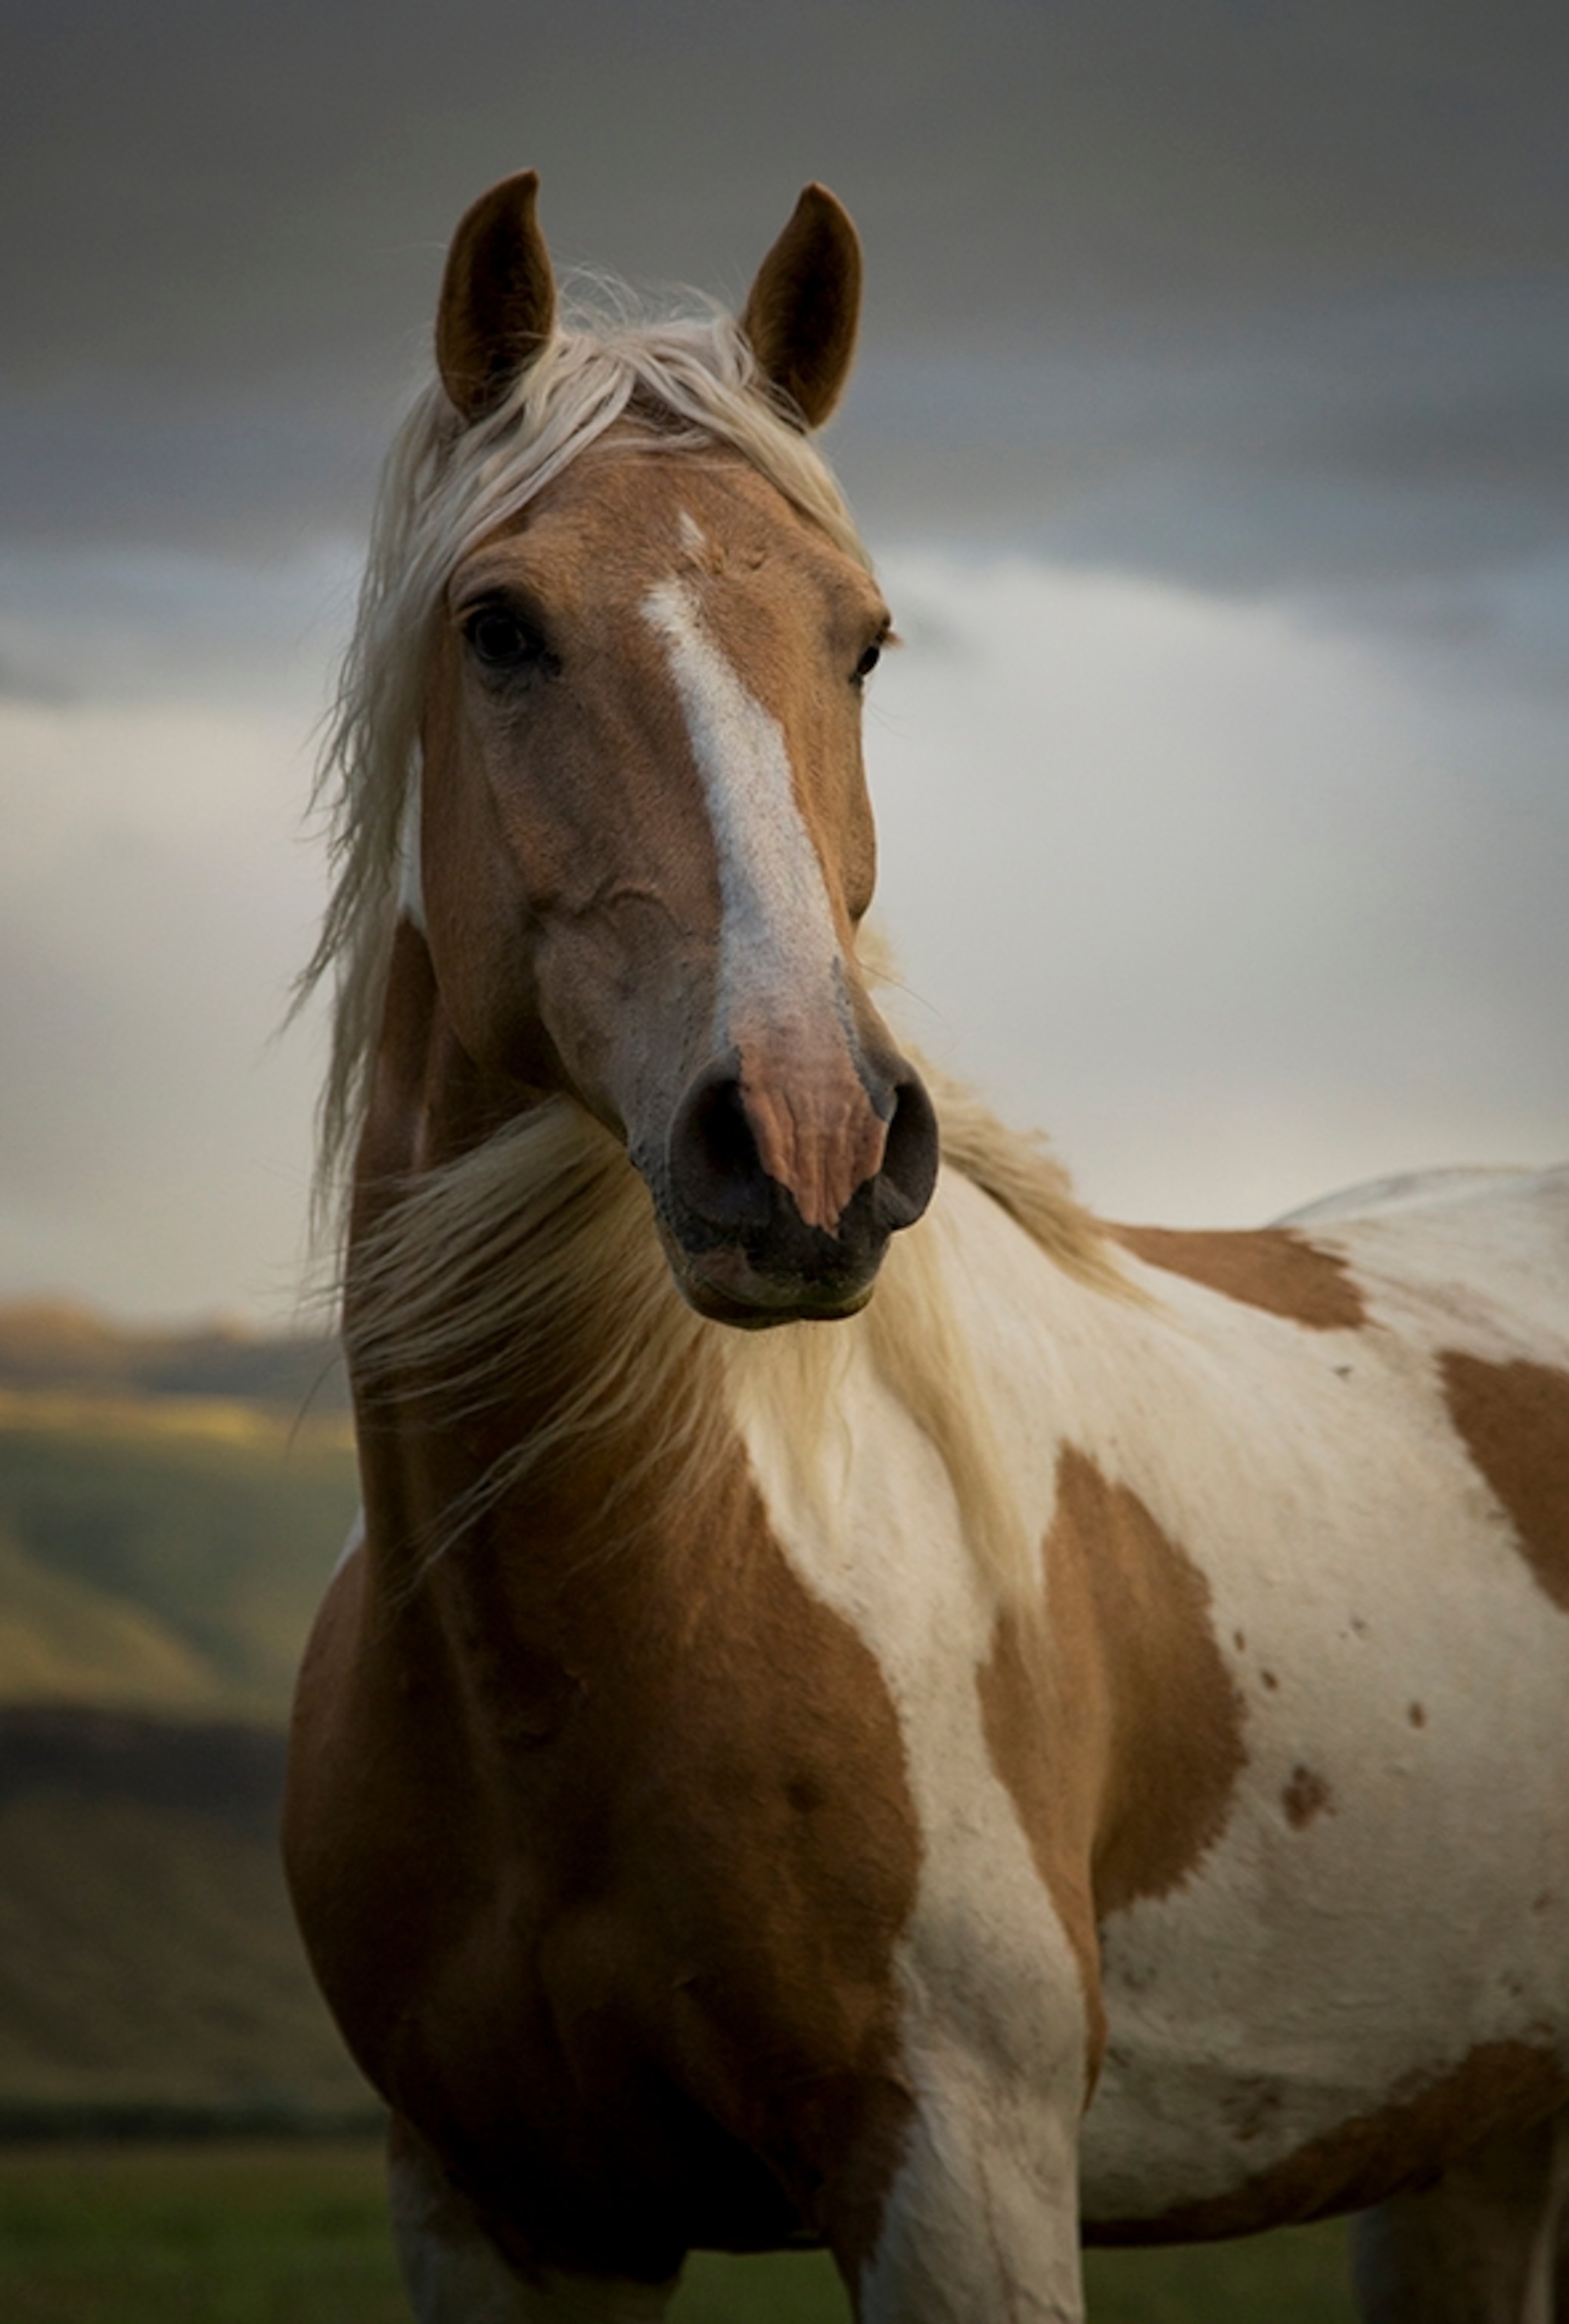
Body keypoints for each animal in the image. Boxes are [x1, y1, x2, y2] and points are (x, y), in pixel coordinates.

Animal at [283, 170, 1569, 2324]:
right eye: (500, 628)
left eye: (866, 641)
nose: (806, 1146)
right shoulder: (499, 2208)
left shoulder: (958, 2176)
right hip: (1466, 2145)